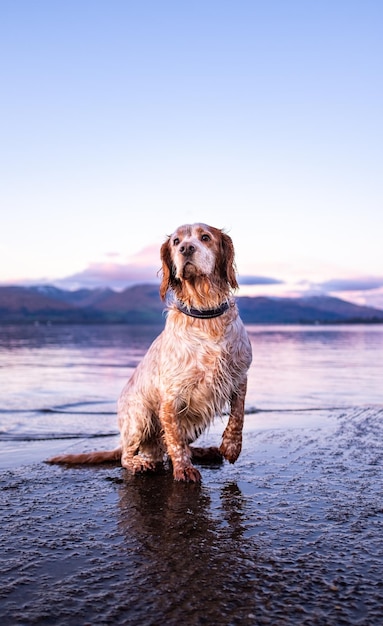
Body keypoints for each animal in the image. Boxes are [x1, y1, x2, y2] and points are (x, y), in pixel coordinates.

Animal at [48, 224, 252, 482]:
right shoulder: (171, 395)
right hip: (140, 417)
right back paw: (140, 463)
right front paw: (184, 468)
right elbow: (174, 439)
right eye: (176, 242)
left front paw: (231, 447)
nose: (186, 249)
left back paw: (204, 451)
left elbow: (238, 415)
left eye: (205, 237)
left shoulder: (240, 376)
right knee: (129, 455)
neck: (205, 315)